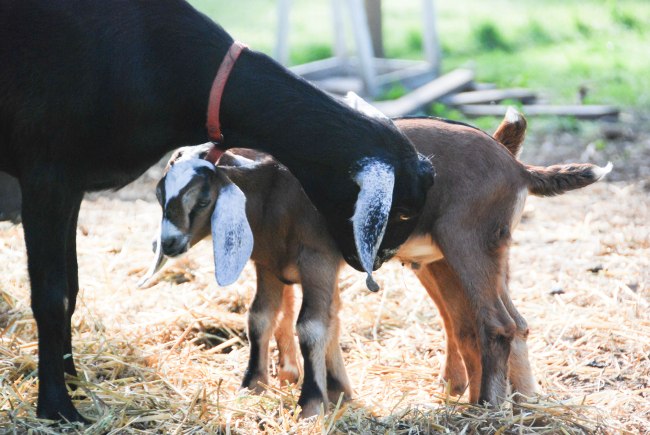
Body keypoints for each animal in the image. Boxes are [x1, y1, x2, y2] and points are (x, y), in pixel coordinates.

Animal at [0, 0, 433, 421]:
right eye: (403, 211)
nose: (375, 264)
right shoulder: (47, 174)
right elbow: (52, 296)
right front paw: (57, 406)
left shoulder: (72, 186)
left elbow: (71, 289)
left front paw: (74, 382)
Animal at [144, 105, 610, 414]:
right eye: (160, 193)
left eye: (203, 197)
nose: (167, 243)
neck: (275, 189)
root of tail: (517, 167)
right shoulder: (270, 265)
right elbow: (264, 318)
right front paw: (256, 388)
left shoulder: (317, 258)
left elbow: (312, 325)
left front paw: (313, 402)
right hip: (464, 256)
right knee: (502, 323)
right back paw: (520, 401)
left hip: (470, 244)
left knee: (496, 324)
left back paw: (486, 409)